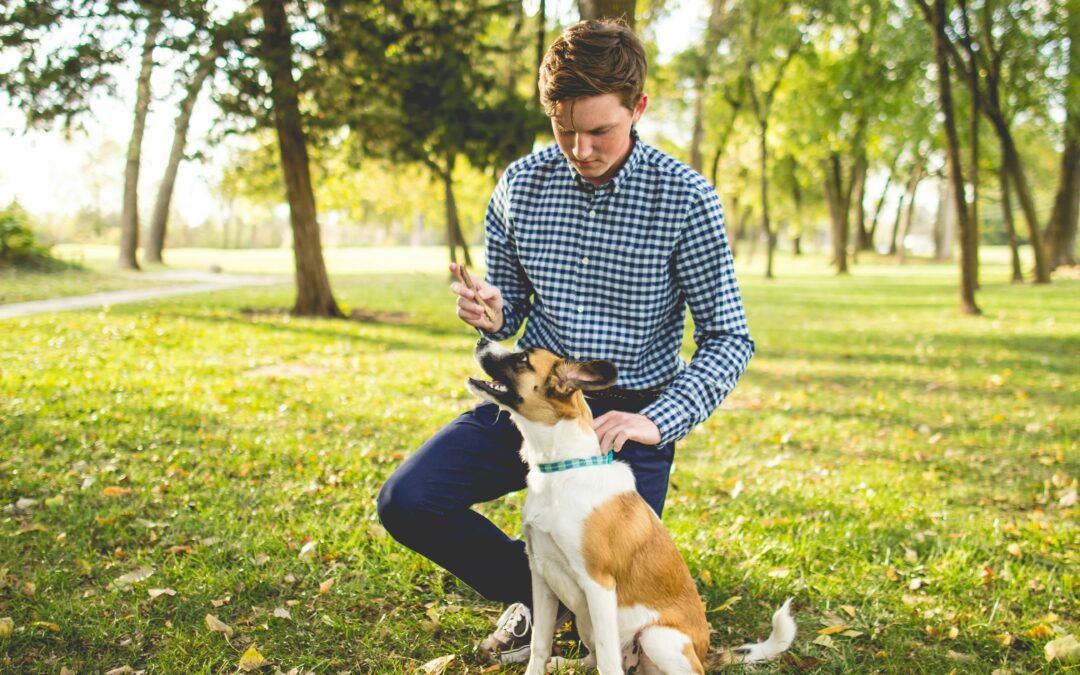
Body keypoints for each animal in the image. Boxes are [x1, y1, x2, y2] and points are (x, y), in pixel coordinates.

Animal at [464, 339, 794, 673]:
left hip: (656, 638)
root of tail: (703, 654)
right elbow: (539, 645)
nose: (480, 340)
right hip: (587, 622)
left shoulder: (598, 585)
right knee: (594, 657)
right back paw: (562, 662)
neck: (562, 470)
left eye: (522, 358)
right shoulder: (542, 576)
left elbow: (608, 661)